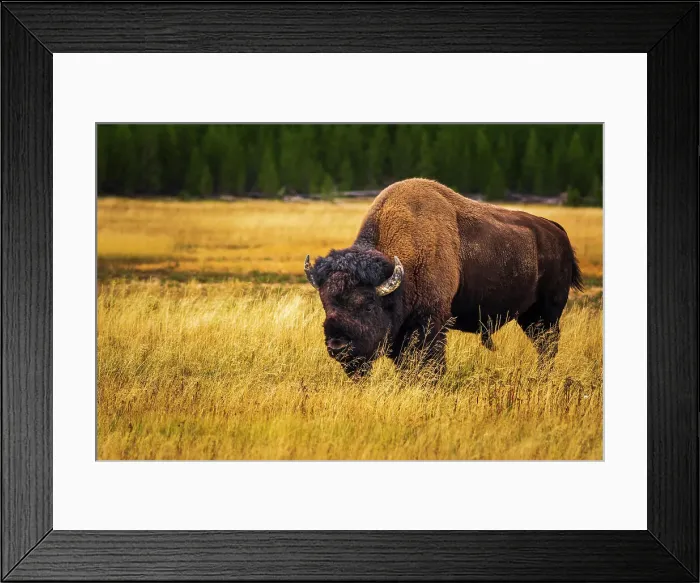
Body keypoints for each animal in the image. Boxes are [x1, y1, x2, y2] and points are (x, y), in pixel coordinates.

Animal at [305, 178, 583, 378]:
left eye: (368, 305)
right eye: (326, 305)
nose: (338, 346)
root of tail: (557, 231)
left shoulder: (431, 323)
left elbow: (429, 362)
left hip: (546, 313)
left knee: (548, 345)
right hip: (529, 316)